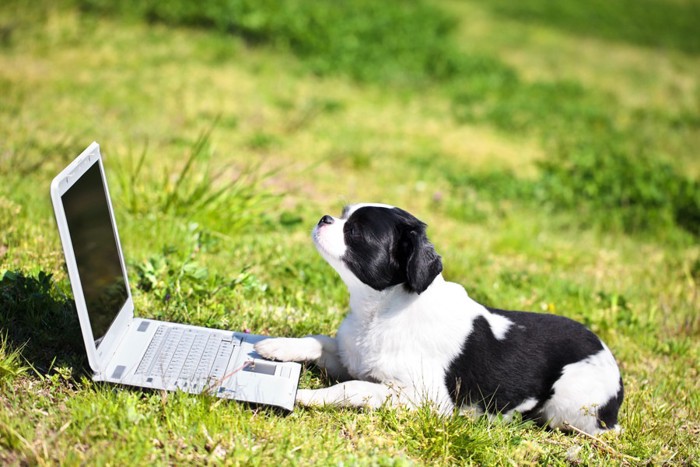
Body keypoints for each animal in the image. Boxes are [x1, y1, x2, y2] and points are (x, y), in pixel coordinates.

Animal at [256, 204, 624, 436]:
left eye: (356, 232)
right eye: (343, 215)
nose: (324, 218)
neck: (378, 313)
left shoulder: (421, 398)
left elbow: (353, 388)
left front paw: (307, 396)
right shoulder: (350, 358)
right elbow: (317, 342)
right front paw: (275, 347)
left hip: (571, 403)